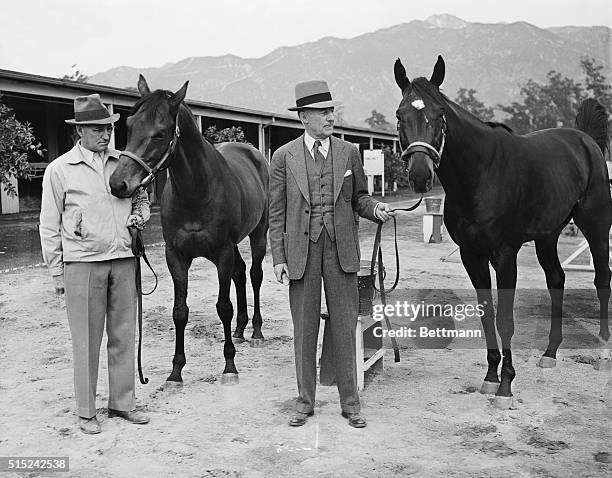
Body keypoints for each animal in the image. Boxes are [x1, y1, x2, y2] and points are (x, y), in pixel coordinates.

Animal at [108, 76, 270, 386]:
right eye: (130, 124)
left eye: (160, 133)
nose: (118, 184)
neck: (198, 191)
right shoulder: (176, 256)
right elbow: (180, 311)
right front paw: (176, 371)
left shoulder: (221, 253)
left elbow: (223, 307)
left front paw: (229, 366)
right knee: (241, 273)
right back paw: (240, 330)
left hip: (259, 233)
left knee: (255, 275)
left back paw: (255, 331)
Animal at [394, 55, 608, 408]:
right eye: (400, 116)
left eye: (439, 115)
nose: (420, 176)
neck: (480, 174)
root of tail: (585, 139)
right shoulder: (472, 256)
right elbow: (487, 315)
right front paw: (491, 377)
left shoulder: (505, 255)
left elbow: (504, 319)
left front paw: (506, 385)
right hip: (548, 235)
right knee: (556, 279)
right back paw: (550, 353)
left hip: (597, 226)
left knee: (602, 279)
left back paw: (603, 352)